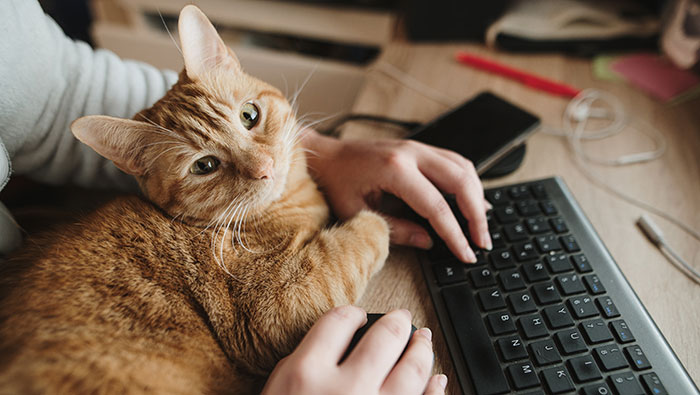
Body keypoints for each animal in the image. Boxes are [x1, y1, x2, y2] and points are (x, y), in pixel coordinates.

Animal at [0, 6, 392, 395]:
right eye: (204, 166)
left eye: (249, 115)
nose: (264, 168)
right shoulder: (277, 303)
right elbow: (349, 247)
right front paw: (375, 219)